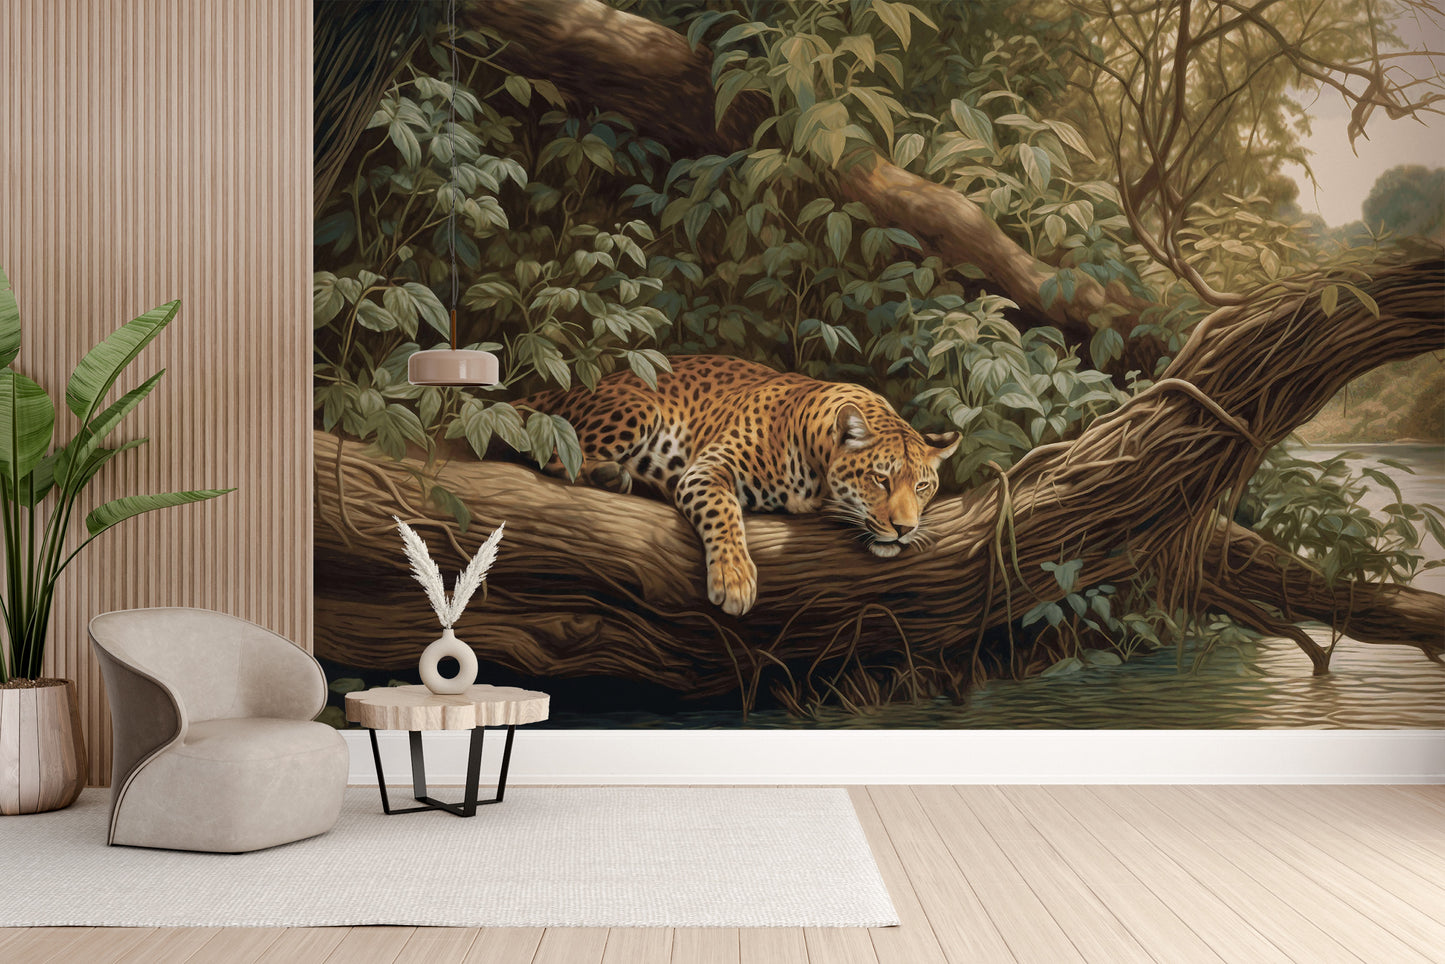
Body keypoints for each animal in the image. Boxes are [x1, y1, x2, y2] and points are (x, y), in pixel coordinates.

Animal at [516, 355, 960, 616]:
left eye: (922, 487)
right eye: (880, 479)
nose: (904, 528)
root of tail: (572, 386)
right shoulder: (708, 469)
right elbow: (724, 513)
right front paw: (733, 579)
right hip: (637, 409)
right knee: (555, 454)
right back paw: (611, 475)